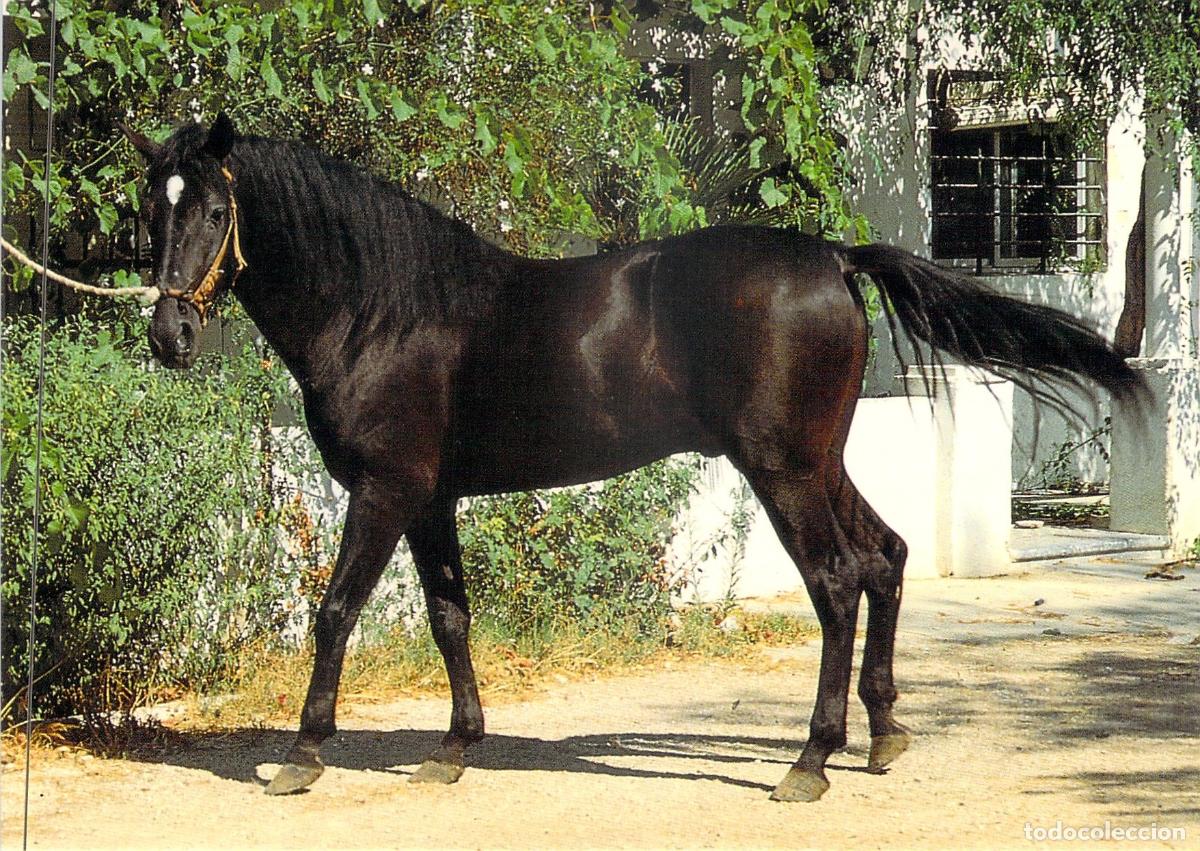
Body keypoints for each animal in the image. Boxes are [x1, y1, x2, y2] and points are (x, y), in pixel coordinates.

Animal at [121, 114, 1144, 803]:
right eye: (150, 210)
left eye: (212, 208)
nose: (170, 335)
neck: (385, 311)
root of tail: (834, 260)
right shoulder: (432, 498)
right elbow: (451, 618)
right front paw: (454, 748)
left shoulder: (386, 489)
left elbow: (335, 610)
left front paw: (302, 754)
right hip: (818, 459)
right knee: (886, 558)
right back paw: (884, 733)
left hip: (781, 469)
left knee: (837, 581)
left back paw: (809, 761)